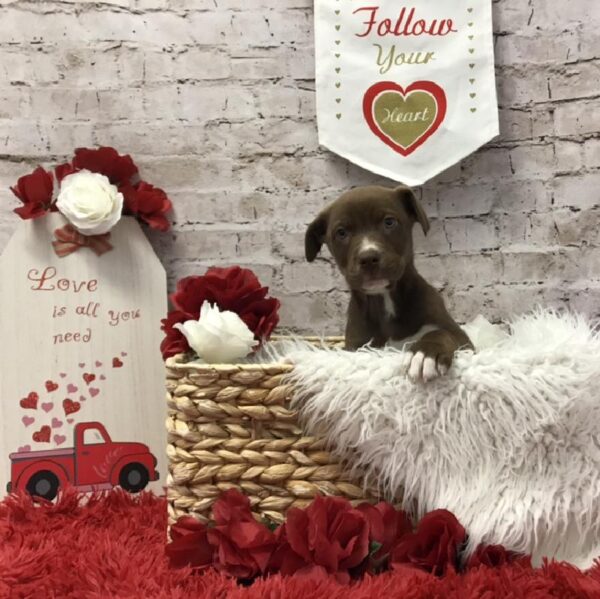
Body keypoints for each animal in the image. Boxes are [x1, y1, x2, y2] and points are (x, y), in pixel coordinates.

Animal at [305, 185, 472, 382]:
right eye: (341, 233)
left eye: (389, 222)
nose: (368, 258)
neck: (385, 301)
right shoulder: (356, 347)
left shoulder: (462, 339)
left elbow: (440, 332)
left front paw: (424, 354)